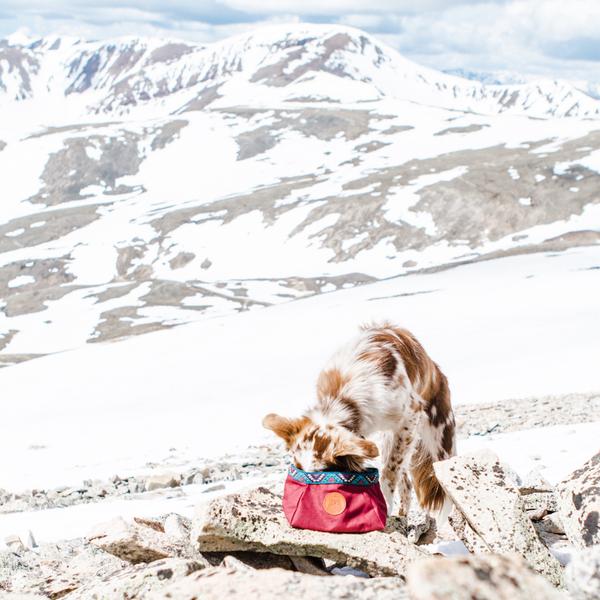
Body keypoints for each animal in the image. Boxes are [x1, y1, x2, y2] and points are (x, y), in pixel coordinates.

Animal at [262, 322, 454, 516]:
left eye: (322, 473)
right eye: (298, 469)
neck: (343, 399)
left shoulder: (408, 419)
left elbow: (389, 472)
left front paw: (385, 504)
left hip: (441, 446)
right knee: (406, 485)